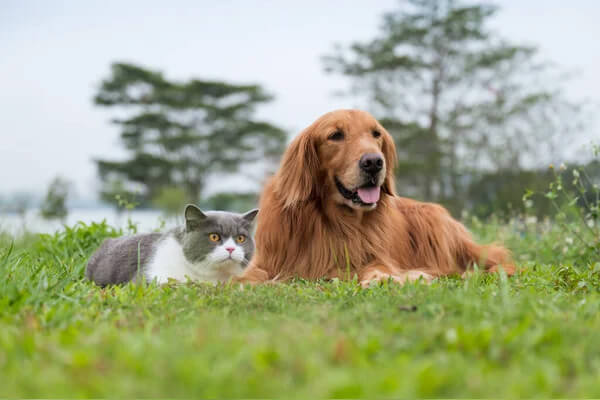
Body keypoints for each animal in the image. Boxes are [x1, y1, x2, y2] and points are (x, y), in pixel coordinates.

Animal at [239, 108, 516, 288]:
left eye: (376, 134)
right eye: (335, 135)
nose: (373, 162)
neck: (336, 220)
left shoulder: (376, 255)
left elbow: (379, 267)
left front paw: (385, 278)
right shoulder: (271, 260)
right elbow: (248, 276)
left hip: (433, 221)